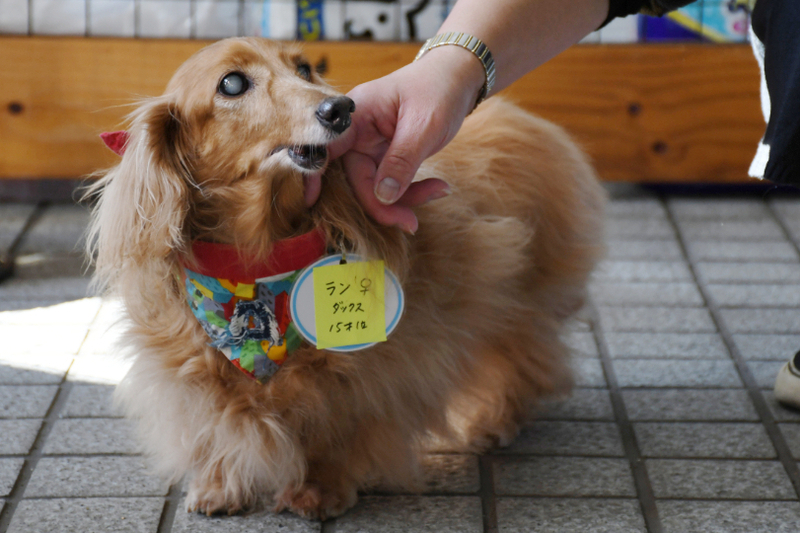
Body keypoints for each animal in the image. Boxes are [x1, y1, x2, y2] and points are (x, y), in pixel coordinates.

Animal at [87, 37, 605, 519]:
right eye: (231, 83)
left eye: (304, 67)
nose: (341, 109)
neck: (255, 261)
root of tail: (520, 115)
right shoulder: (194, 374)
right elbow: (217, 425)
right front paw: (218, 485)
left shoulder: (363, 376)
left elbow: (332, 429)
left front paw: (319, 490)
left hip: (512, 296)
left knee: (522, 357)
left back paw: (493, 420)